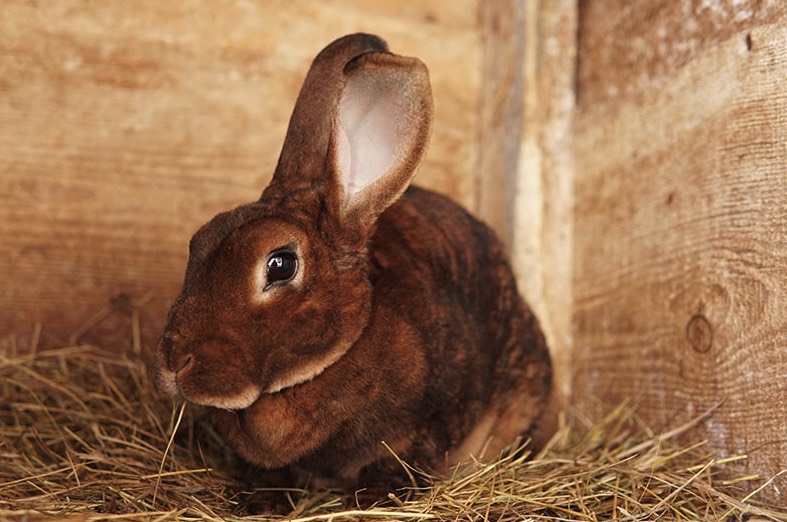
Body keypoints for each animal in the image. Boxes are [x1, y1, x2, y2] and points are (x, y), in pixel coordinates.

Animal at [151, 32, 552, 508]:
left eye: (280, 264)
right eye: (197, 241)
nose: (175, 363)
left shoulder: (426, 424)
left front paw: (373, 500)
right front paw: (262, 502)